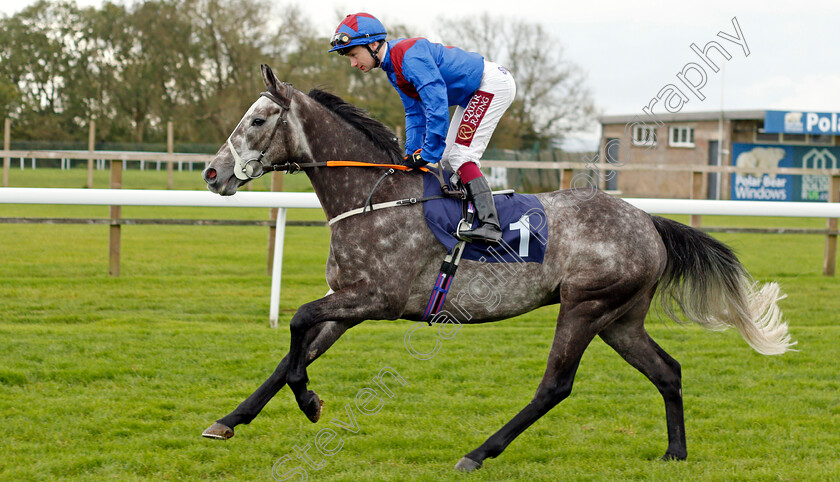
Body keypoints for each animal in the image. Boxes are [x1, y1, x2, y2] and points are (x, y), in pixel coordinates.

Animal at [200, 65, 792, 470]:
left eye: (257, 120)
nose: (211, 173)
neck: (376, 197)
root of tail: (647, 220)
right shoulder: (348, 301)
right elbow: (292, 353)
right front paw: (228, 421)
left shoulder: (376, 300)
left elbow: (298, 322)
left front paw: (310, 403)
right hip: (620, 318)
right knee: (668, 371)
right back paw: (675, 452)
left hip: (585, 306)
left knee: (555, 386)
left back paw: (479, 452)